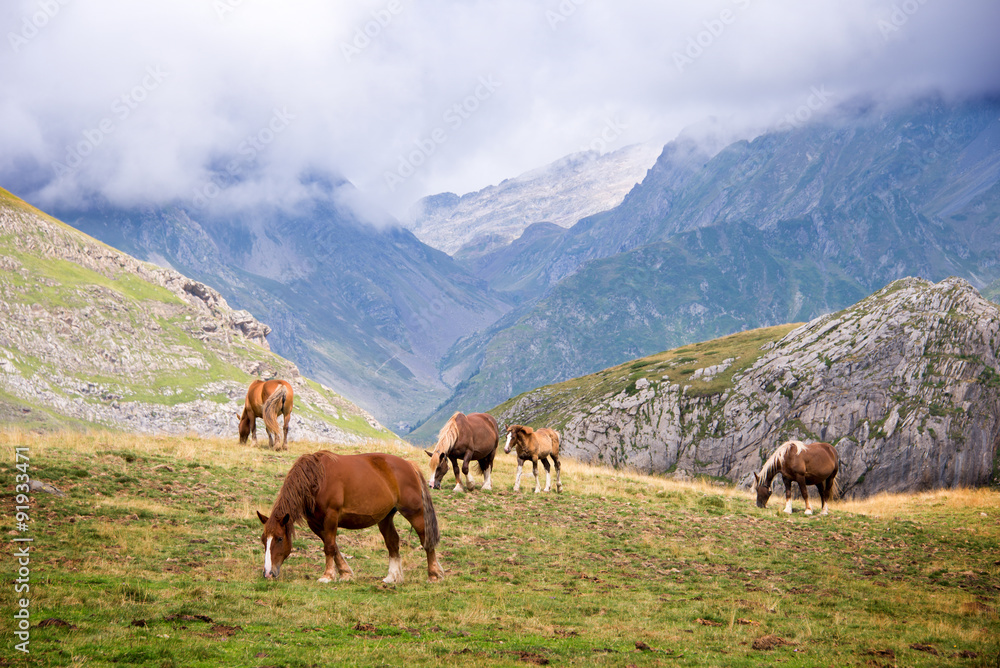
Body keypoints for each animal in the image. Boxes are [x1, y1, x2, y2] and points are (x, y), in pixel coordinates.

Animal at [257, 451, 444, 584]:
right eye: (263, 539)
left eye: (280, 539)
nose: (268, 573)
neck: (317, 479)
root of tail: (409, 465)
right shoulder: (316, 523)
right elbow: (332, 546)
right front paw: (345, 573)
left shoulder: (331, 516)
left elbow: (329, 547)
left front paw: (327, 576)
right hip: (385, 518)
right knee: (392, 543)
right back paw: (392, 577)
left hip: (415, 513)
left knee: (426, 540)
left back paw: (433, 574)